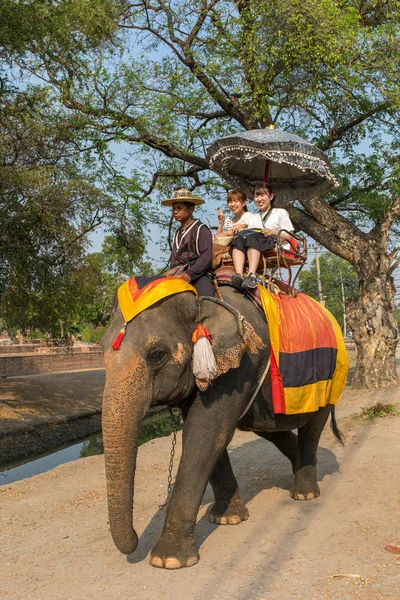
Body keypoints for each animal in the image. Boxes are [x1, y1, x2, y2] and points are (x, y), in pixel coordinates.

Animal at [101, 284, 346, 568]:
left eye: (157, 355)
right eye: (101, 349)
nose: (135, 540)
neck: (199, 299)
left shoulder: (240, 363)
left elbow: (204, 431)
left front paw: (168, 560)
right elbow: (211, 434)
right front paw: (228, 518)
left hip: (330, 378)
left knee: (312, 428)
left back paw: (304, 494)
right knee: (270, 429)